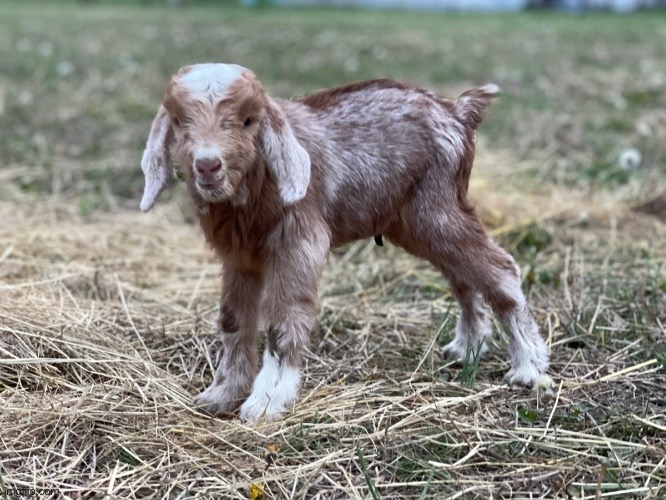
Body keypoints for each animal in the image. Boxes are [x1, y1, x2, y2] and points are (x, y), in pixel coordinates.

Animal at [140, 63, 548, 422]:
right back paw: (468, 347)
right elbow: (232, 320)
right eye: (179, 121)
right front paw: (223, 393)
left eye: (248, 120)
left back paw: (527, 368)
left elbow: (281, 322)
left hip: (437, 210)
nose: (208, 166)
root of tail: (457, 111)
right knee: (463, 277)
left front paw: (267, 401)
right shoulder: (239, 257)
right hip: (414, 224)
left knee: (500, 268)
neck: (257, 182)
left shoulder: (299, 243)